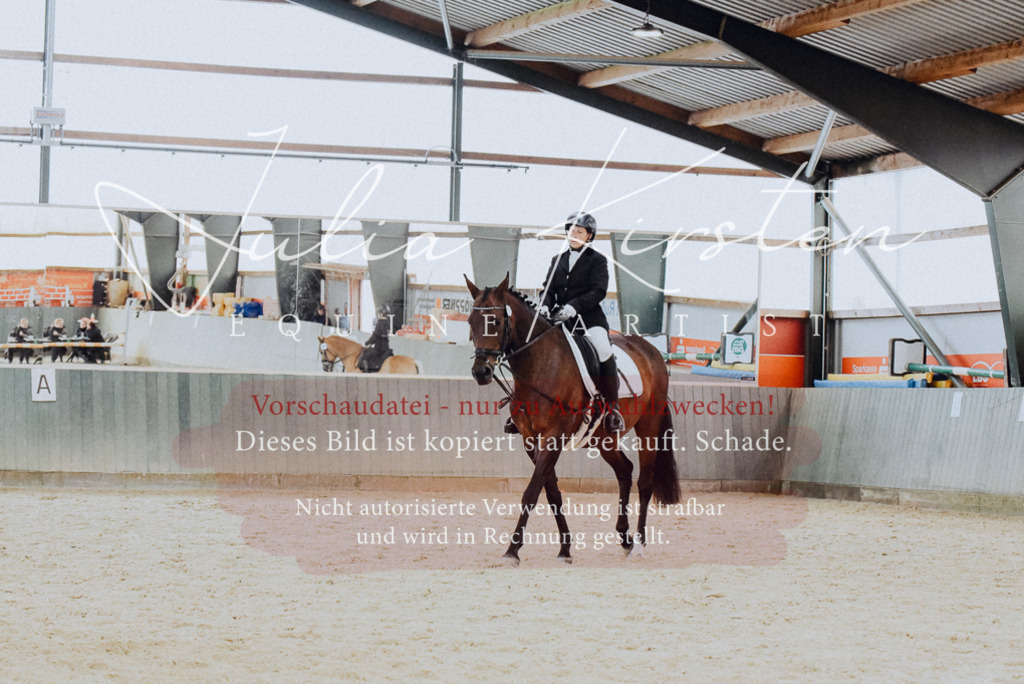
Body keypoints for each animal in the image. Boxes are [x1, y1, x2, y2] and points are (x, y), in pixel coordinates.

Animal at [466, 274, 681, 567]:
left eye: (497, 321)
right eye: (470, 322)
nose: (481, 372)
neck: (540, 365)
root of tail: (651, 350)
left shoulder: (554, 436)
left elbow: (531, 492)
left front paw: (512, 550)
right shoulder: (530, 439)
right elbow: (552, 493)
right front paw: (565, 549)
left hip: (649, 424)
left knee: (644, 482)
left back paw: (638, 544)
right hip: (603, 438)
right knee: (624, 471)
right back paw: (624, 538)